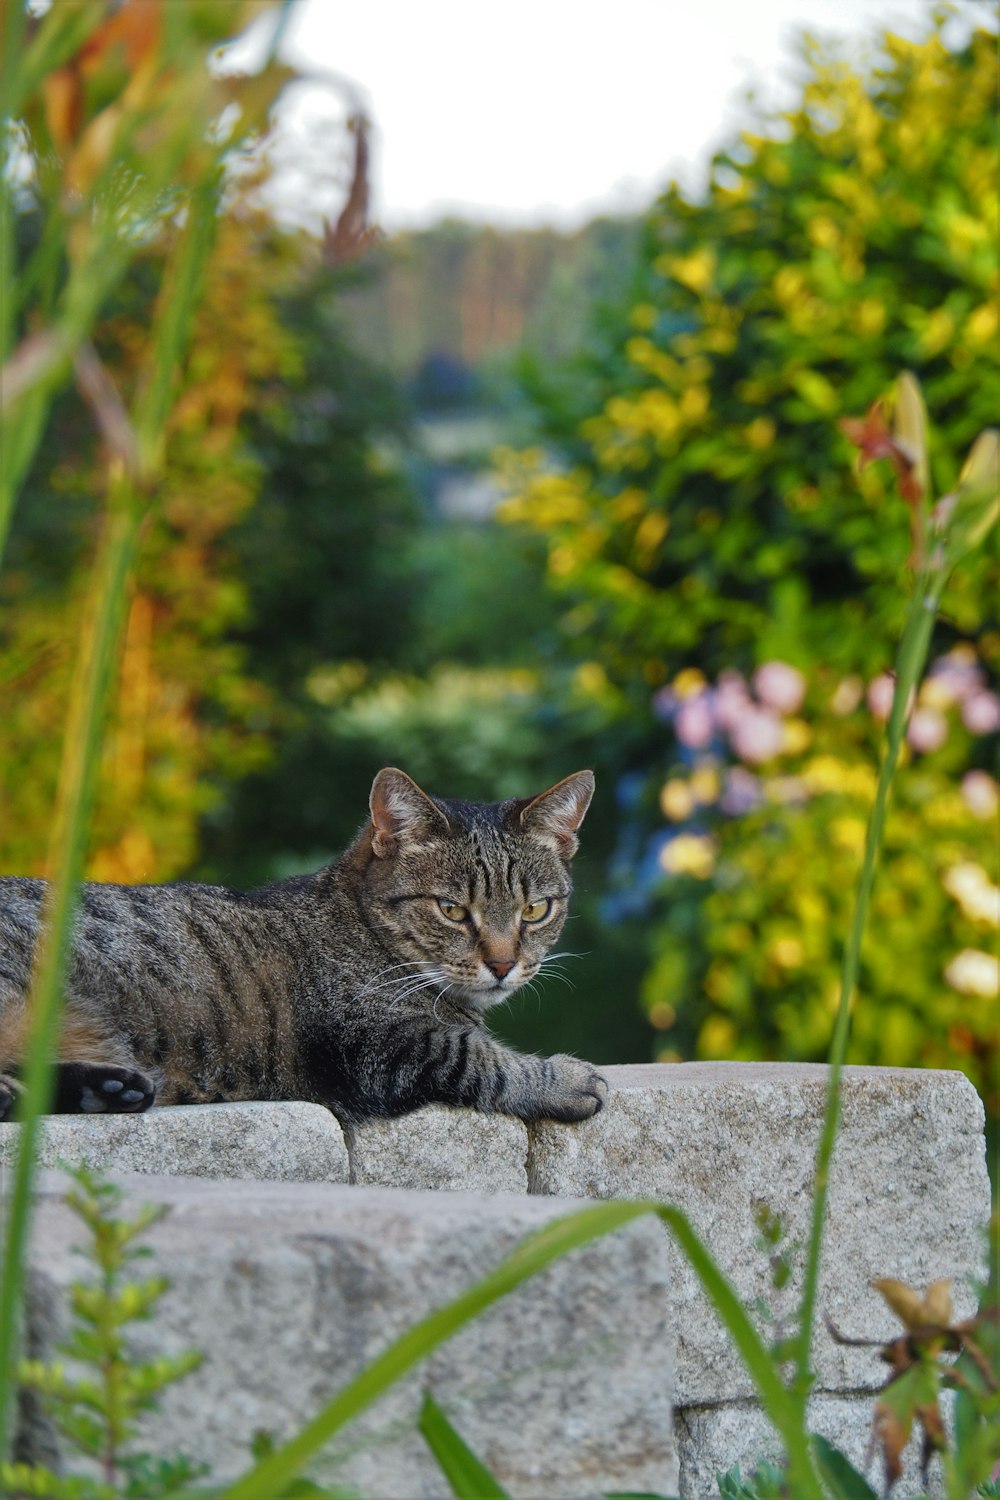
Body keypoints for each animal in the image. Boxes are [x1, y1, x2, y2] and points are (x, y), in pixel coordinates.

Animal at [0, 774, 605, 1128]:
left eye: (535, 910)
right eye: (452, 910)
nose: (503, 964)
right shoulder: (372, 1044)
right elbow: (478, 1058)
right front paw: (563, 1079)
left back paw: (107, 1089)